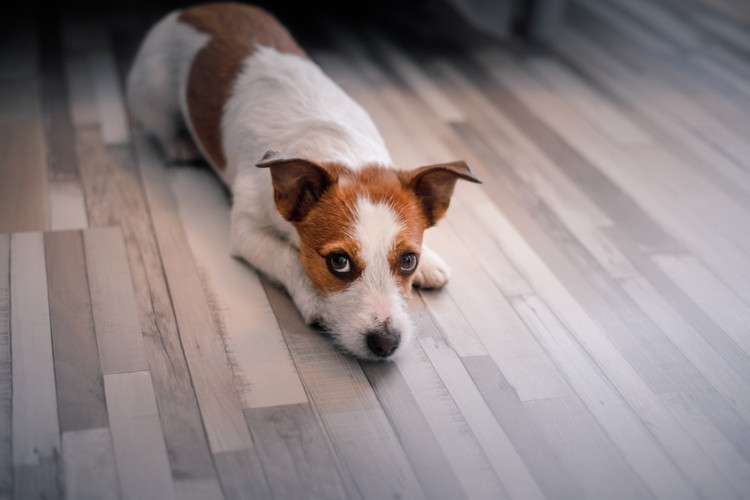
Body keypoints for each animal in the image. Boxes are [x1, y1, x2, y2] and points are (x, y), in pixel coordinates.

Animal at [127, 0, 482, 360]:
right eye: (338, 262)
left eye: (408, 261)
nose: (386, 343)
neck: (345, 154)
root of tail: (194, 9)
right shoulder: (246, 231)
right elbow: (288, 257)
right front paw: (313, 298)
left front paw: (430, 261)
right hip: (155, 98)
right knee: (162, 127)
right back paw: (181, 143)